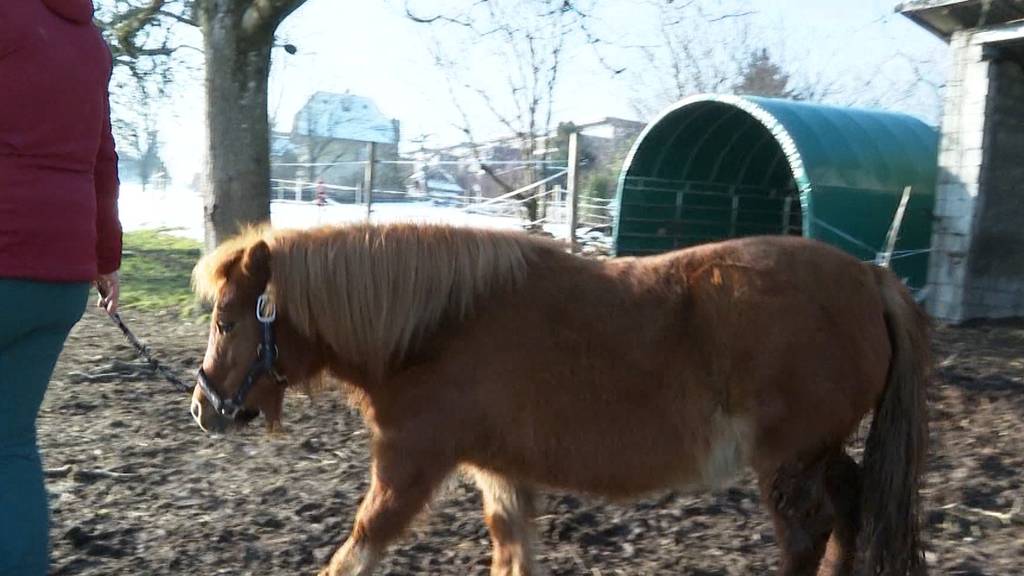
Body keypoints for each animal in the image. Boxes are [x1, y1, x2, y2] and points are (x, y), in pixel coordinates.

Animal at [190, 220, 929, 573]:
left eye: (225, 321)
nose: (202, 407)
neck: (439, 325)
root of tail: (870, 276)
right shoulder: (501, 476)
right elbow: (513, 556)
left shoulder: (407, 468)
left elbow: (356, 550)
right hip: (823, 453)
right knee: (852, 510)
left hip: (789, 464)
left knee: (808, 534)